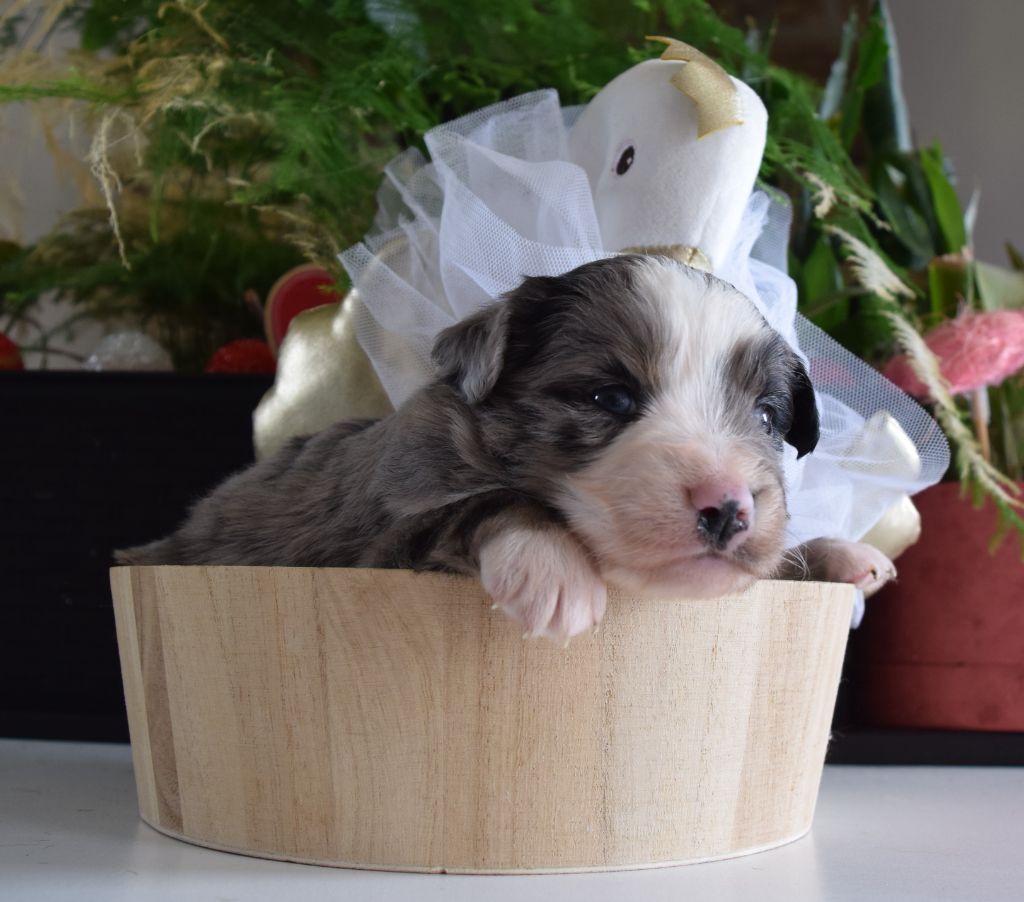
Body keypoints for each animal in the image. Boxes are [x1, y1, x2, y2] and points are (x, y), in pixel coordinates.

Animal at [118, 255, 895, 640]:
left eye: (766, 415)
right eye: (609, 399)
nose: (728, 507)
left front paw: (841, 554)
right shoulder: (387, 527)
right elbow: (488, 499)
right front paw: (556, 571)